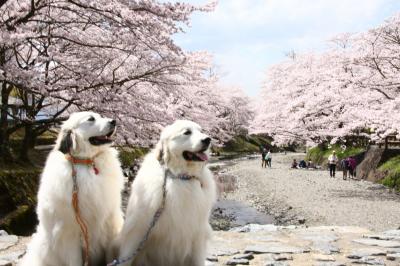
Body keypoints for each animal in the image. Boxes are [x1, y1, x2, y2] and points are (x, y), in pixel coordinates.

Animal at [19, 111, 123, 266]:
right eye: (91, 119)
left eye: (100, 116)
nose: (114, 121)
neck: (86, 162)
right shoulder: (69, 232)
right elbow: (75, 260)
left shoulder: (110, 220)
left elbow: (110, 253)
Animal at [113, 120, 216, 266]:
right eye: (187, 132)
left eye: (201, 131)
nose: (208, 139)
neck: (179, 177)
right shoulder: (138, 227)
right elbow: (127, 254)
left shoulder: (197, 230)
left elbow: (197, 258)